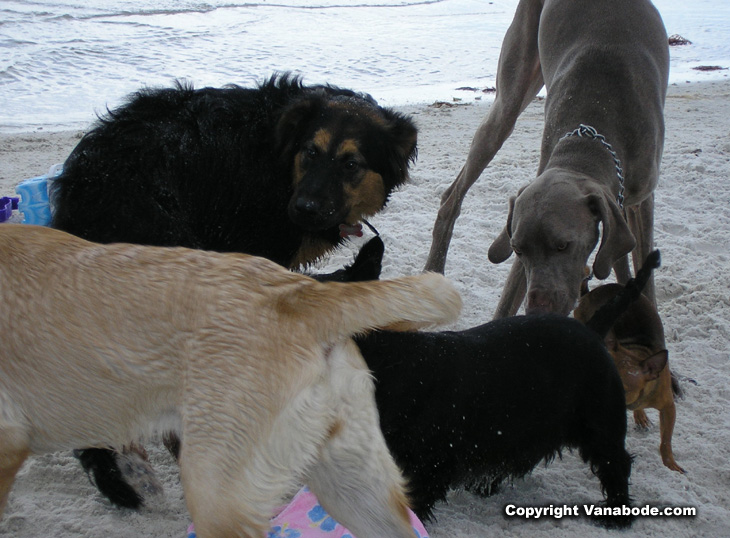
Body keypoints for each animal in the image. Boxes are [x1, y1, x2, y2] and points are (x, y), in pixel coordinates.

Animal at [424, 0, 668, 316]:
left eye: (563, 245)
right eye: (517, 249)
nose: (539, 311)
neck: (590, 139)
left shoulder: (640, 201)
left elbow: (640, 272)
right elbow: (507, 305)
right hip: (508, 99)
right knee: (453, 194)